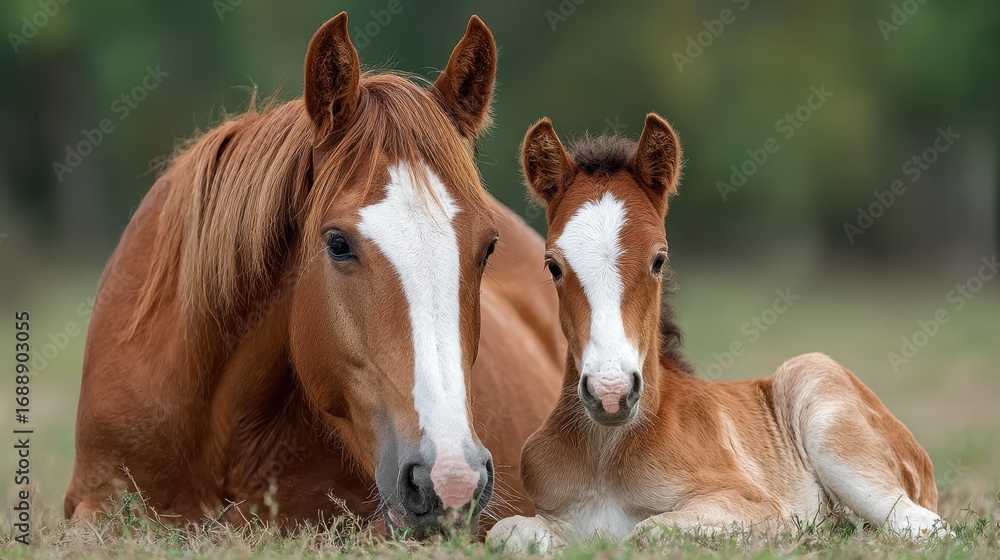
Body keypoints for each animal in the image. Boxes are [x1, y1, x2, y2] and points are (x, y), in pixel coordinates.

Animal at [487, 114, 943, 552]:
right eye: (553, 266)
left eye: (659, 259)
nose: (611, 393)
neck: (605, 452)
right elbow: (507, 533)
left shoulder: (757, 504)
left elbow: (647, 532)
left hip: (822, 396)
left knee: (923, 526)